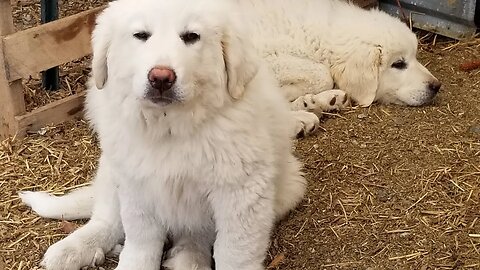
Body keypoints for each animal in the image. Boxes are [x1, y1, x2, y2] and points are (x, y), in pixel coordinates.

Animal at [20, 0, 308, 270]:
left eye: (191, 36)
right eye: (141, 35)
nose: (160, 78)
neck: (170, 128)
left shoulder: (241, 192)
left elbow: (235, 252)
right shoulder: (136, 185)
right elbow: (140, 240)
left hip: (287, 188)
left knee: (195, 234)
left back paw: (187, 259)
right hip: (112, 170)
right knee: (107, 218)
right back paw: (73, 249)